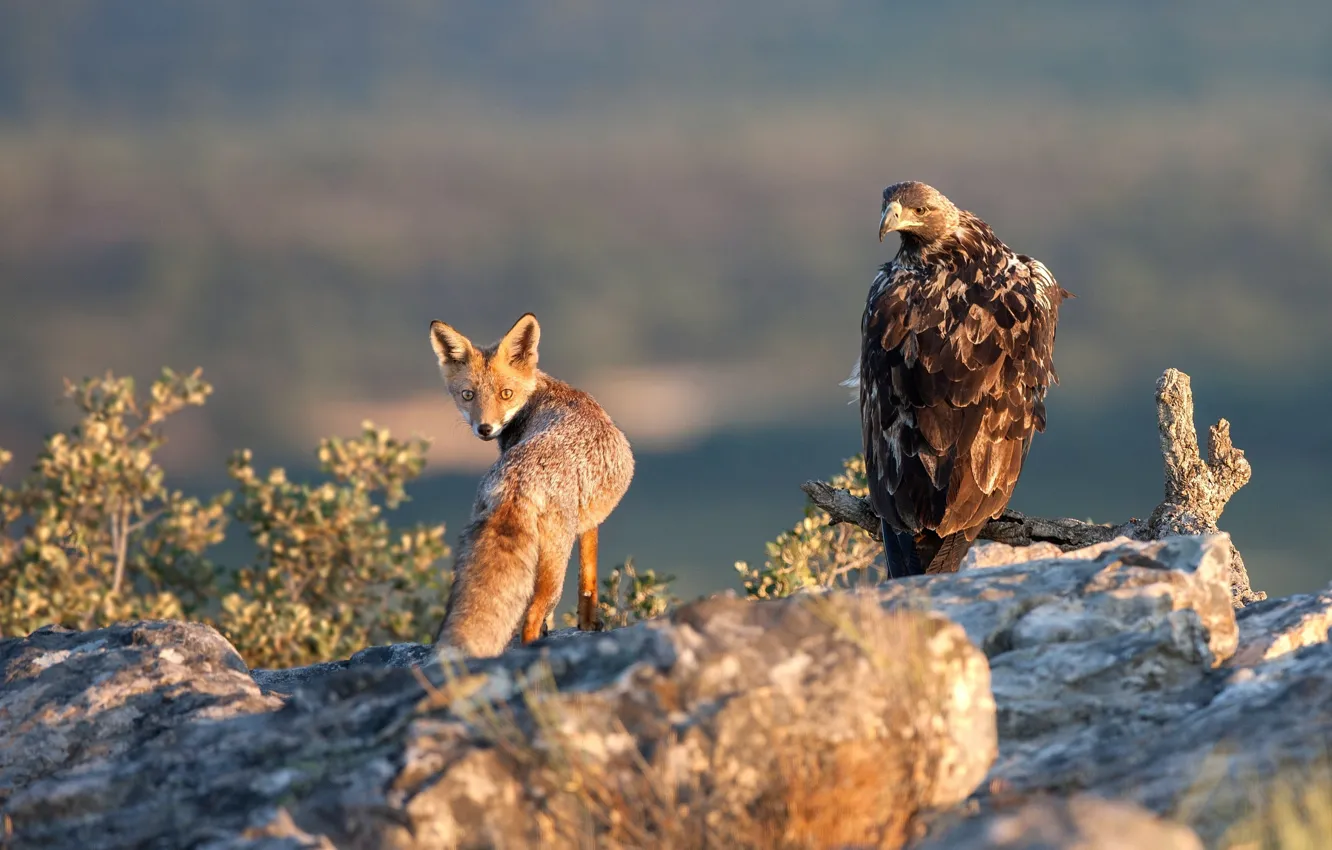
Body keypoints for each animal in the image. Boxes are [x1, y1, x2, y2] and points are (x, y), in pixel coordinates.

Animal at [428, 312, 634, 657]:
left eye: (505, 394)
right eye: (468, 395)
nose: (485, 428)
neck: (540, 394)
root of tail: (517, 483)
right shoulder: (589, 524)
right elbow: (588, 579)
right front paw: (589, 625)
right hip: (554, 565)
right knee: (533, 615)